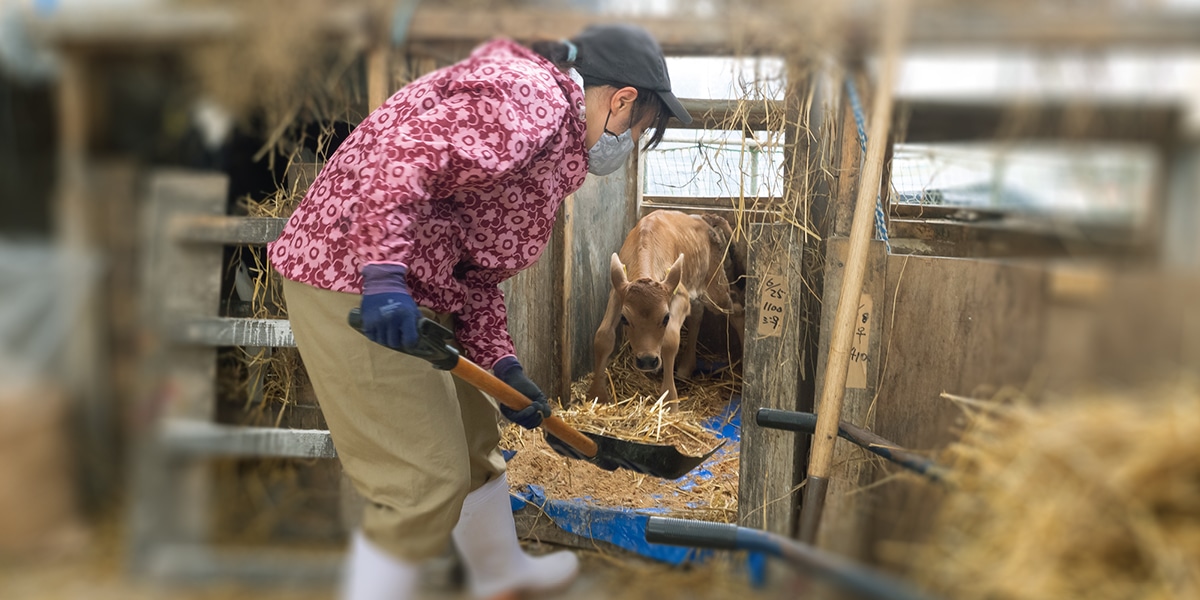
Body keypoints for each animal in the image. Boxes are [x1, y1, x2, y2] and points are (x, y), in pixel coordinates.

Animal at [588, 211, 744, 403]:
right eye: (624, 318)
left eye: (666, 317)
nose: (647, 361)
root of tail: (705, 217)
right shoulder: (617, 294)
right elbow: (602, 337)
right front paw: (597, 395)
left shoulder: (681, 296)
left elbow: (670, 340)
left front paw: (670, 399)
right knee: (698, 314)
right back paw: (686, 367)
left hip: (716, 289)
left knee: (737, 310)